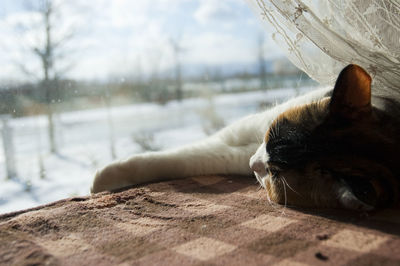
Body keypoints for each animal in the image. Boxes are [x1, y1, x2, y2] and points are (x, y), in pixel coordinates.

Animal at [91, 64, 400, 210]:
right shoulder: (243, 135)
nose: (254, 163)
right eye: (270, 135)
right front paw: (101, 178)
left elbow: (183, 160)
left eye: (275, 174)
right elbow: (173, 156)